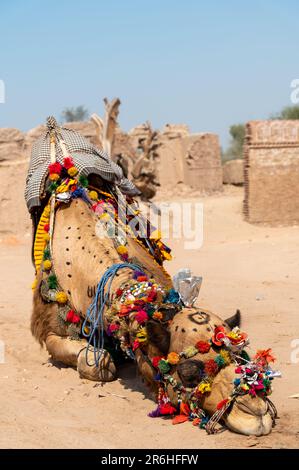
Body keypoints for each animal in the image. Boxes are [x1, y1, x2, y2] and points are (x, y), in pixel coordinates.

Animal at [28, 117, 278, 436]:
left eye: (241, 354)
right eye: (189, 373)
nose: (256, 411)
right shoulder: (48, 323)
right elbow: (90, 358)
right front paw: (103, 361)